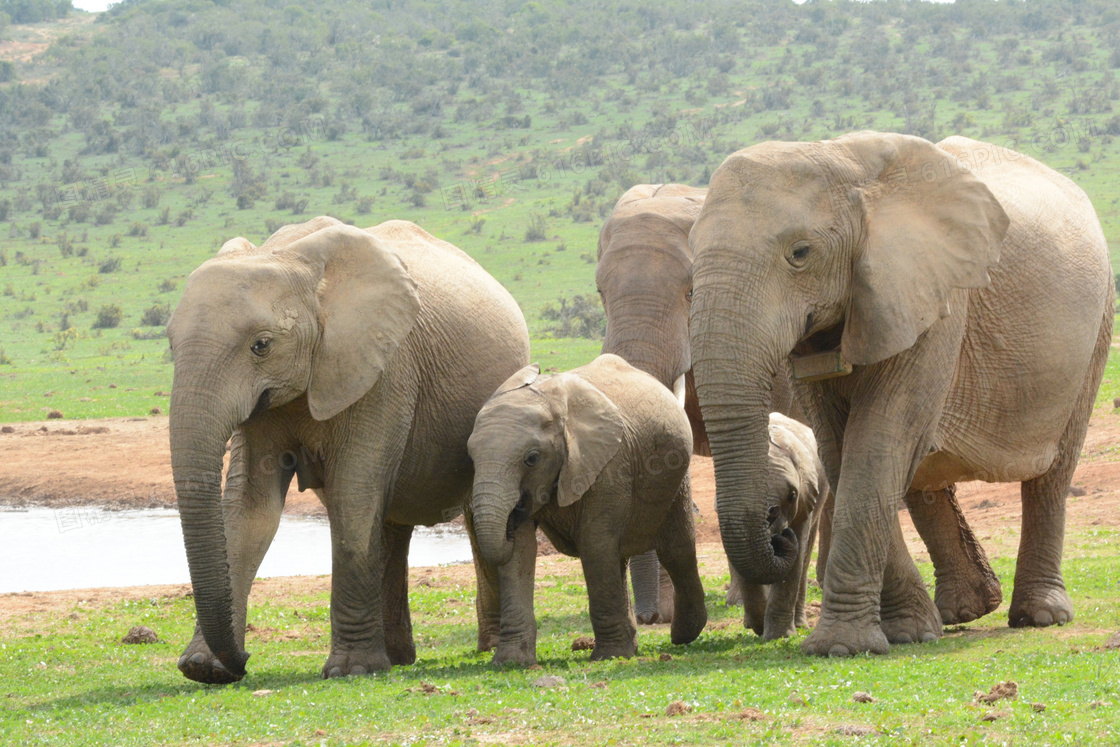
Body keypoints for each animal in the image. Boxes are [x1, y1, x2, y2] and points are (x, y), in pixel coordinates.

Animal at [168, 217, 530, 685]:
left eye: (261, 345)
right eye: (170, 346)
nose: (244, 662)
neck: (289, 258)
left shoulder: (384, 368)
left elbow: (353, 496)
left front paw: (351, 670)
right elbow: (250, 510)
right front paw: (204, 668)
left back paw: (479, 648)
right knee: (390, 527)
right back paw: (398, 657)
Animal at [468, 356, 703, 667]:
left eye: (532, 458)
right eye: (471, 458)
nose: (514, 513)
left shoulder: (609, 465)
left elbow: (595, 544)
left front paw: (608, 656)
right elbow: (520, 552)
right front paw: (510, 662)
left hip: (677, 475)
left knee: (676, 550)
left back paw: (683, 636)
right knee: (620, 557)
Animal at [739, 412, 828, 640]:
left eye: (792, 496)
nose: (780, 533)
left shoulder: (807, 498)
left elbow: (796, 560)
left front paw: (779, 636)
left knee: (804, 556)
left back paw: (799, 624)